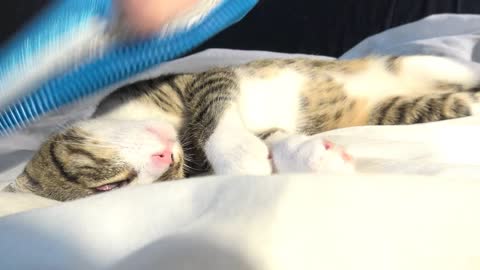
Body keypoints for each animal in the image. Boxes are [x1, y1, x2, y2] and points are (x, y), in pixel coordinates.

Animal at [5, 54, 478, 200]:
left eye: (109, 184)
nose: (165, 156)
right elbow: (273, 138)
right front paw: (312, 157)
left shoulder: (200, 78)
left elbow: (211, 108)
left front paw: (237, 152)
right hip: (405, 108)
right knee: (458, 101)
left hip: (422, 64)